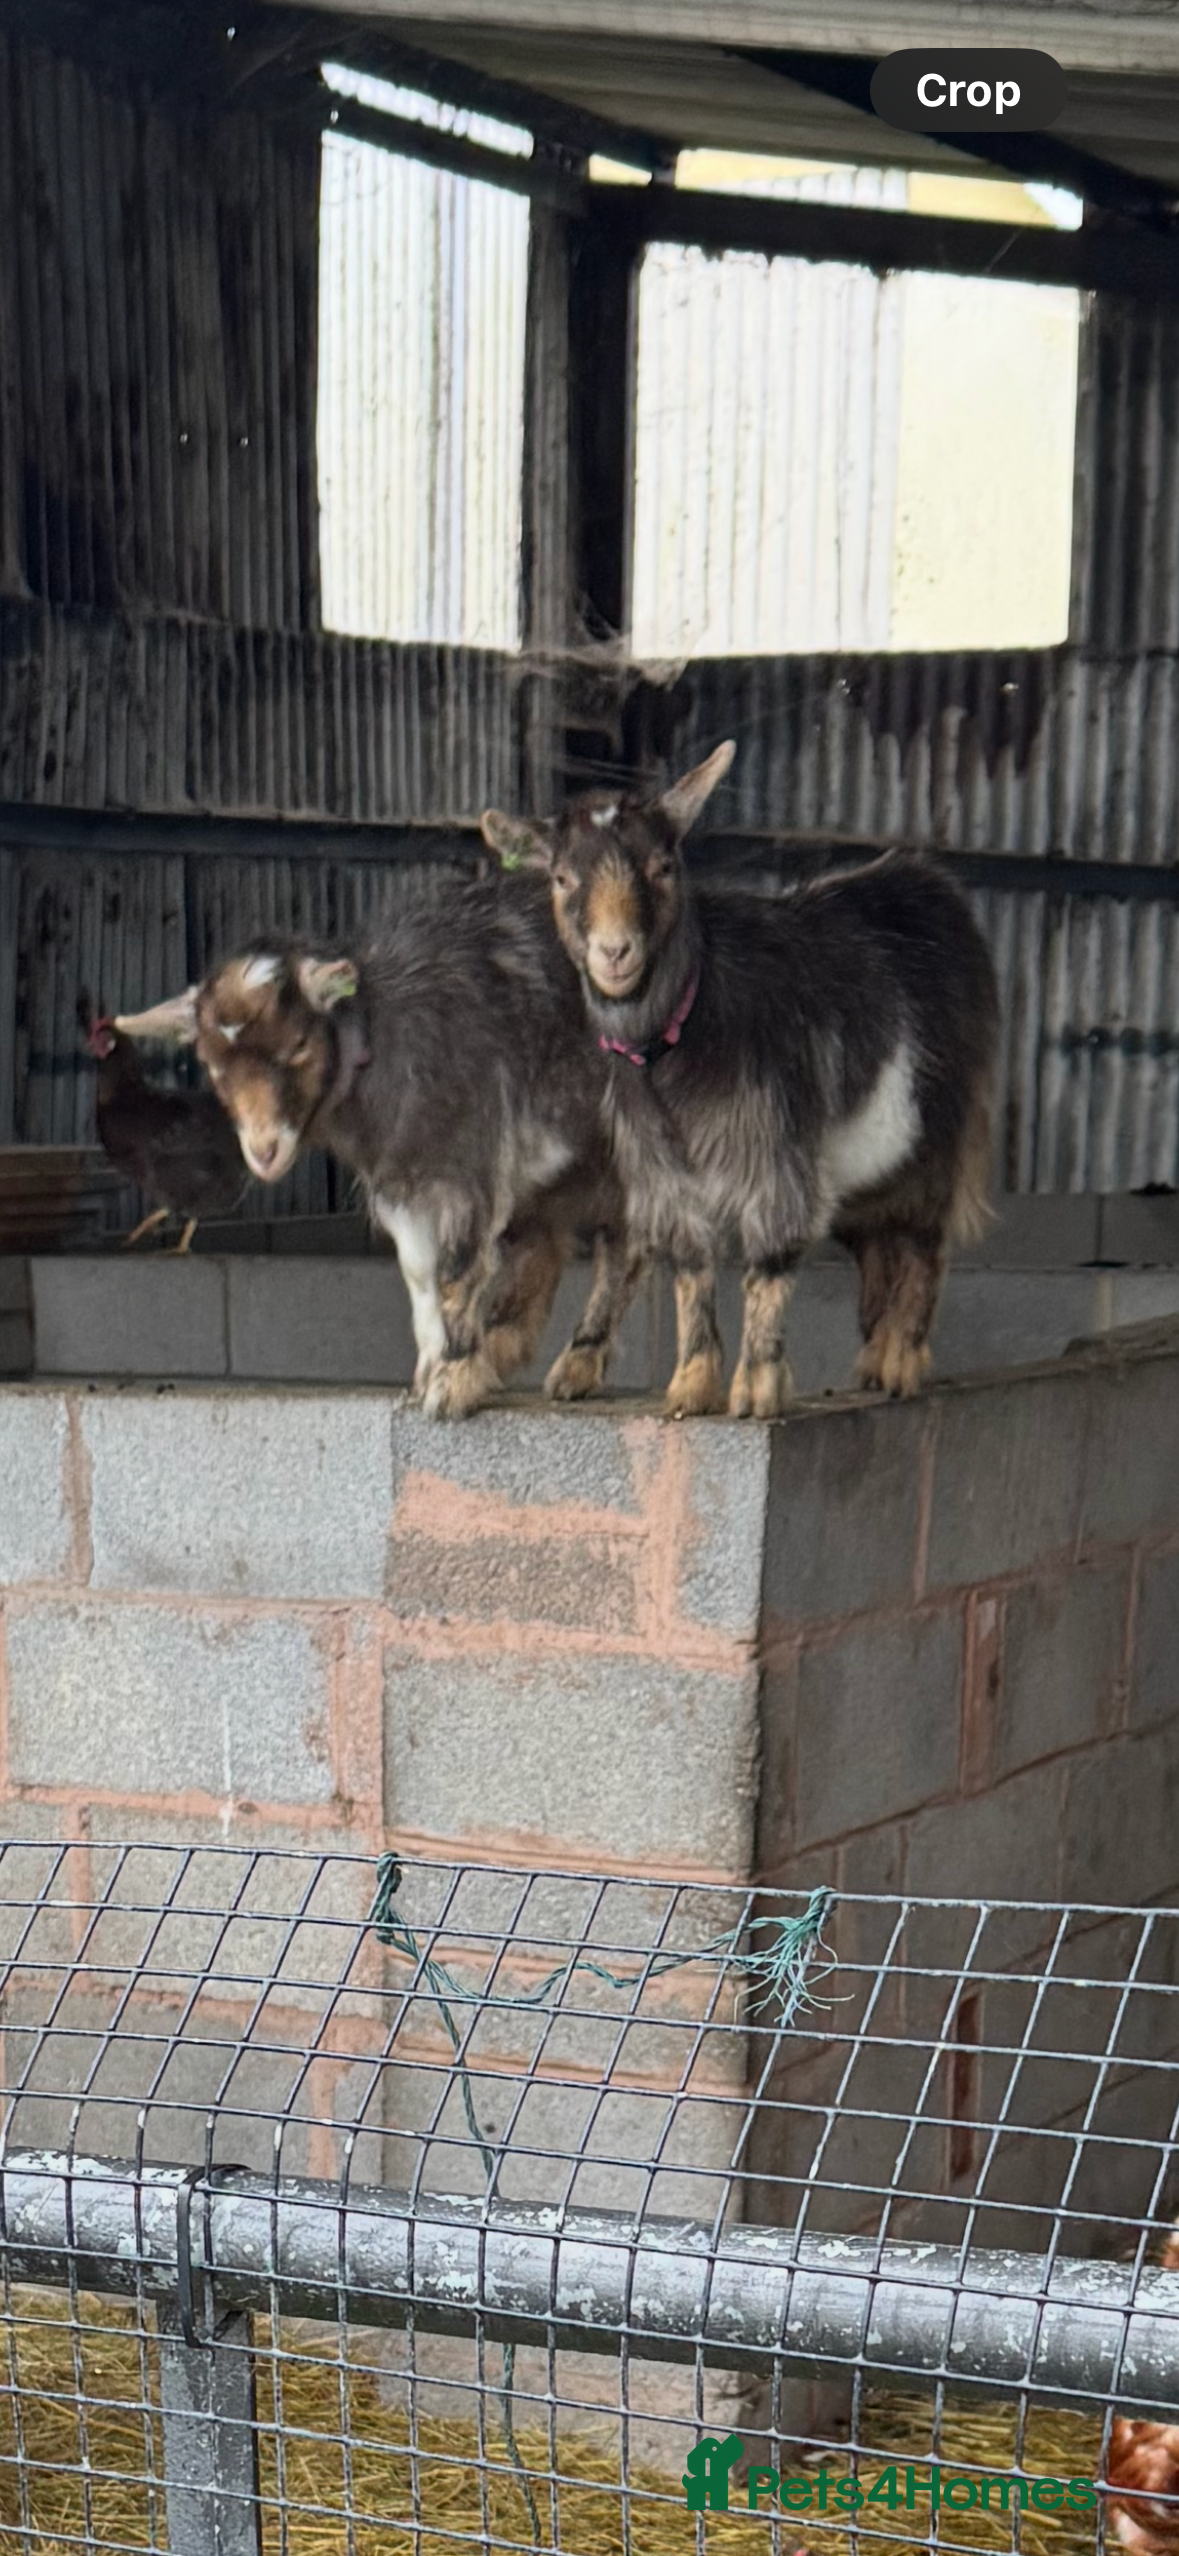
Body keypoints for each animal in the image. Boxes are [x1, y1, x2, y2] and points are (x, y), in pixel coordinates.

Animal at [115, 879, 635, 1419]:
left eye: (298, 1043)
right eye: (210, 1063)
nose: (264, 1150)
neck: (384, 1043)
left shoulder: (474, 1167)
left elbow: (459, 1269)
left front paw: (452, 1383)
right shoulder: (397, 1183)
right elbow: (420, 1275)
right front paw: (429, 1373)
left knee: (620, 1240)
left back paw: (578, 1360)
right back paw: (506, 1346)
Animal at [482, 743, 999, 1418]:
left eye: (664, 866)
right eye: (562, 878)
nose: (615, 953)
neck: (688, 1025)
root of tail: (936, 890)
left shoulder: (776, 1153)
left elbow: (769, 1261)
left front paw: (757, 1387)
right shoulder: (664, 1170)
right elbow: (690, 1265)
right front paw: (691, 1385)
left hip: (939, 1131)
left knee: (924, 1240)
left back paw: (901, 1361)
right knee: (878, 1242)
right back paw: (873, 1357)